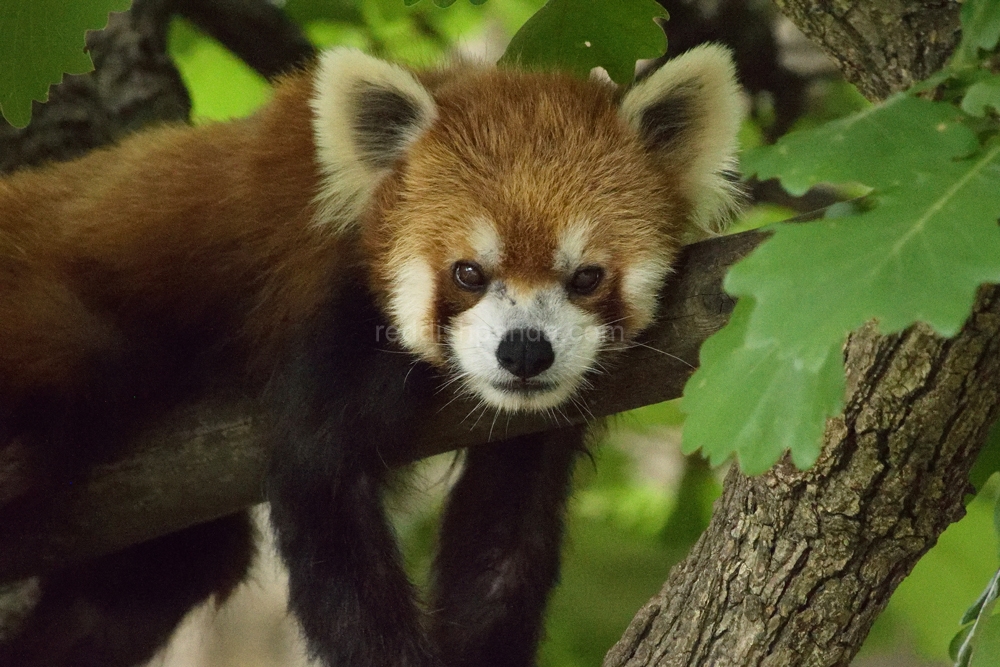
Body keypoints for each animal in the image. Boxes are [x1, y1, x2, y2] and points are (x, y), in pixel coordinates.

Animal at [0, 44, 744, 664]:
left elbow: (502, 543)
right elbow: (319, 483)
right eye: (468, 273)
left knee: (161, 574)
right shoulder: (329, 313)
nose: (525, 352)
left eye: (585, 277)